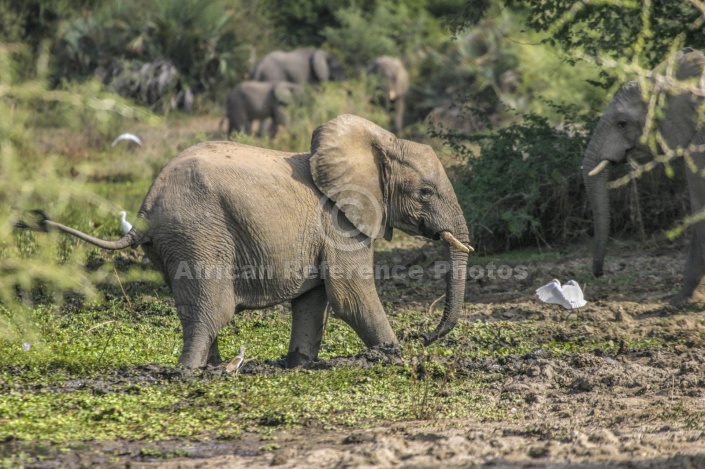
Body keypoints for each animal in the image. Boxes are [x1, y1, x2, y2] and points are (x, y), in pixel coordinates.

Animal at [19, 114, 472, 370]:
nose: (423, 337)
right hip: (200, 233)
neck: (380, 141)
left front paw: (298, 365)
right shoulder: (340, 223)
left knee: (197, 306)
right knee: (212, 307)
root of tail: (146, 211)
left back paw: (211, 368)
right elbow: (351, 296)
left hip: (179, 242)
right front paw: (396, 357)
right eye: (426, 193)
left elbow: (313, 299)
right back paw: (190, 374)